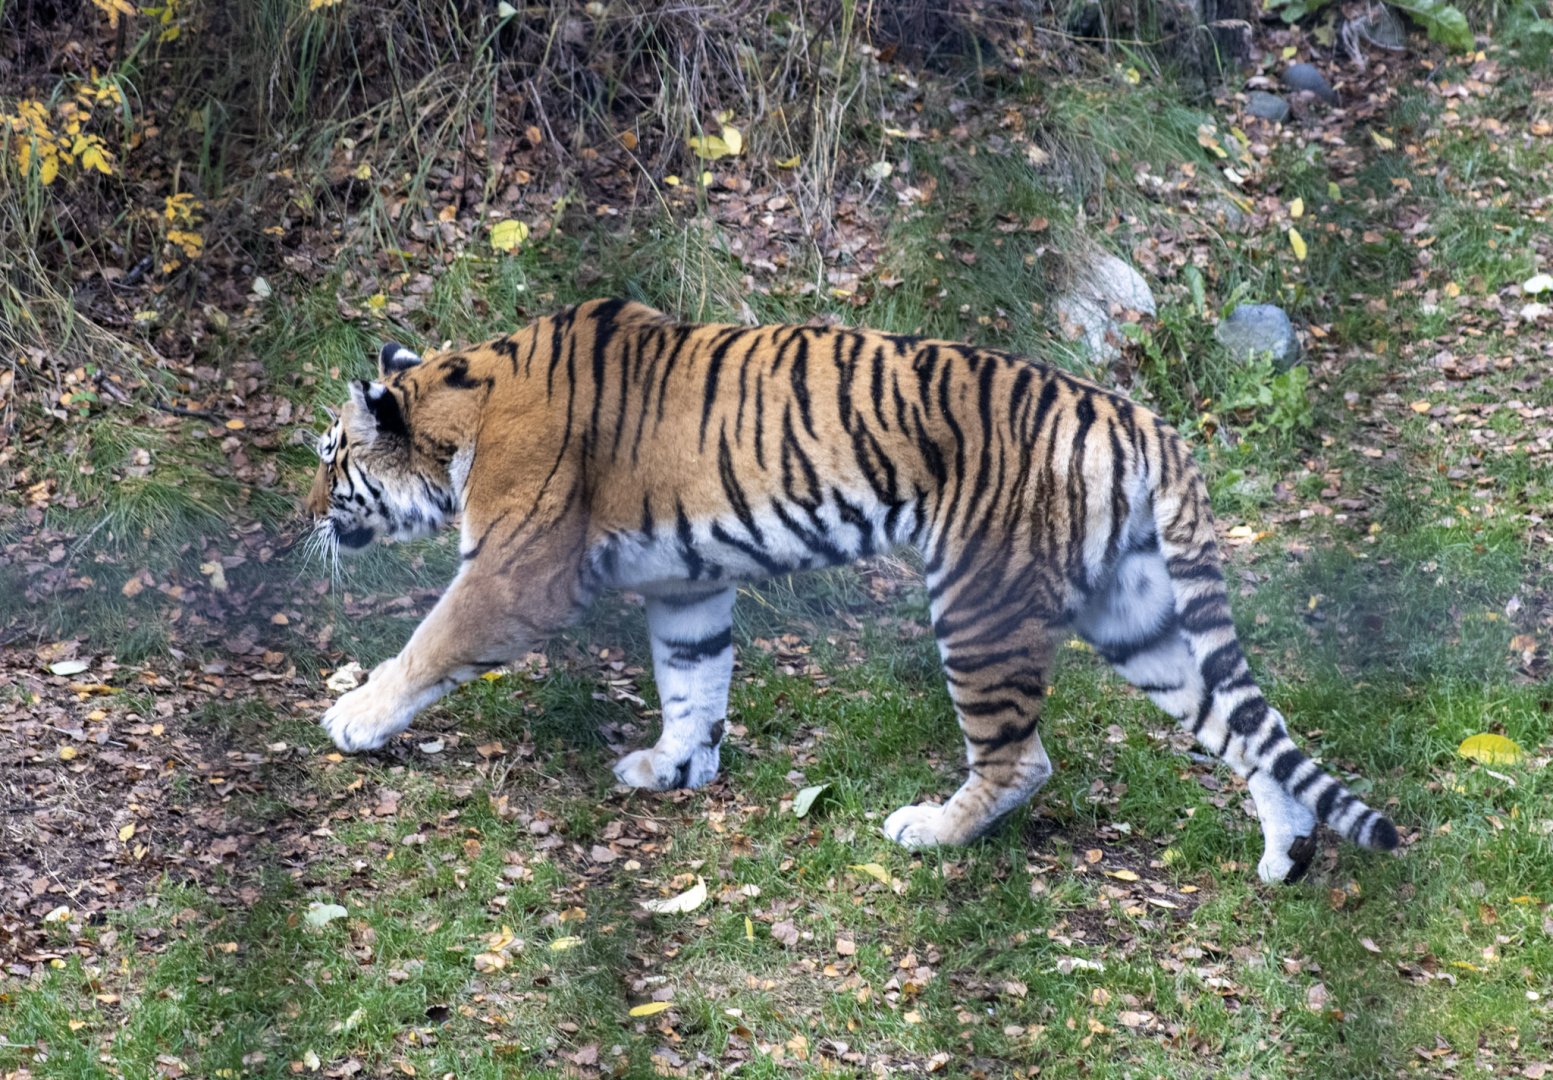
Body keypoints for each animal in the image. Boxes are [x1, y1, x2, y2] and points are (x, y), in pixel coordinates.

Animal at [305, 297, 1399, 884]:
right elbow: (691, 683)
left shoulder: (513, 571)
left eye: (330, 458)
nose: (305, 510)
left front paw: (353, 718)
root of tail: (1140, 420)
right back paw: (1285, 855)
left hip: (978, 603)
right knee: (1242, 725)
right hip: (1136, 615)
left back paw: (929, 832)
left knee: (1022, 758)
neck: (463, 415)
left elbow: (431, 643)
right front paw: (673, 768)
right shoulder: (687, 584)